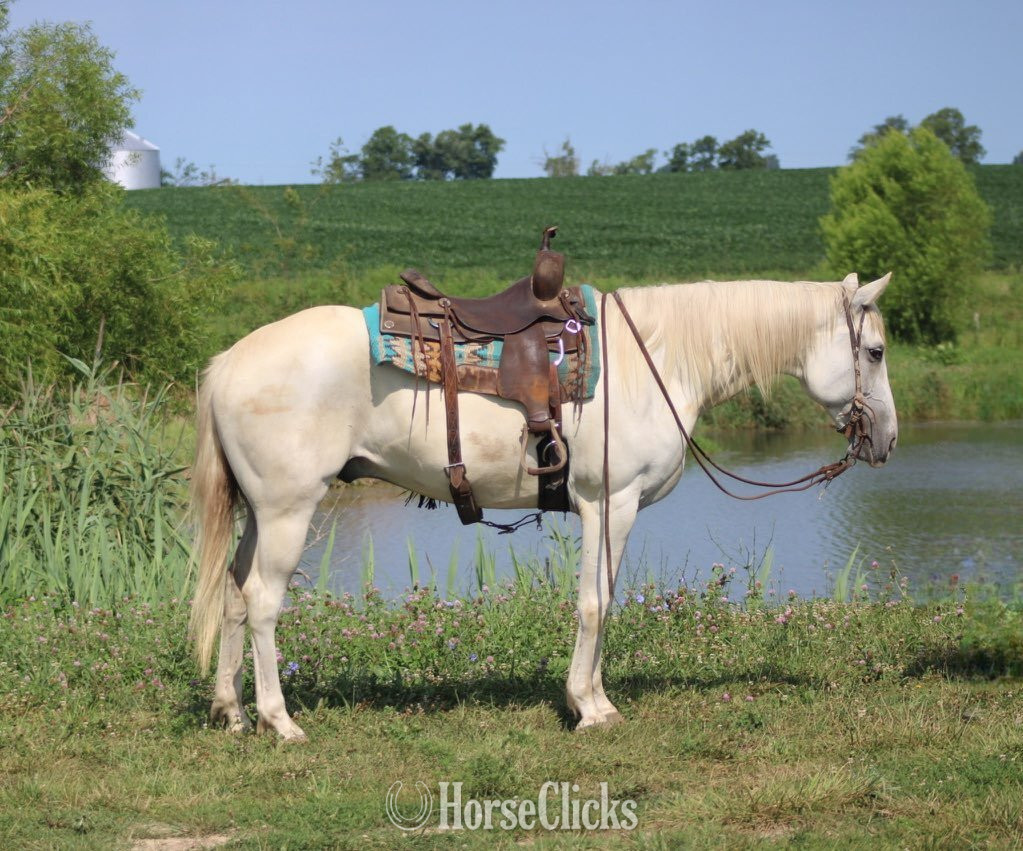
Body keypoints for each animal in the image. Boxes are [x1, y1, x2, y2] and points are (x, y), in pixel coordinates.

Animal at [188, 272, 897, 740]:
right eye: (876, 351)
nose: (887, 440)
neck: (655, 362)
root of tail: (228, 364)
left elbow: (602, 601)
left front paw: (594, 698)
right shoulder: (610, 505)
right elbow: (596, 603)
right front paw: (590, 707)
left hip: (260, 514)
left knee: (233, 592)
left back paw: (231, 711)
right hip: (288, 510)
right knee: (262, 602)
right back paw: (280, 721)